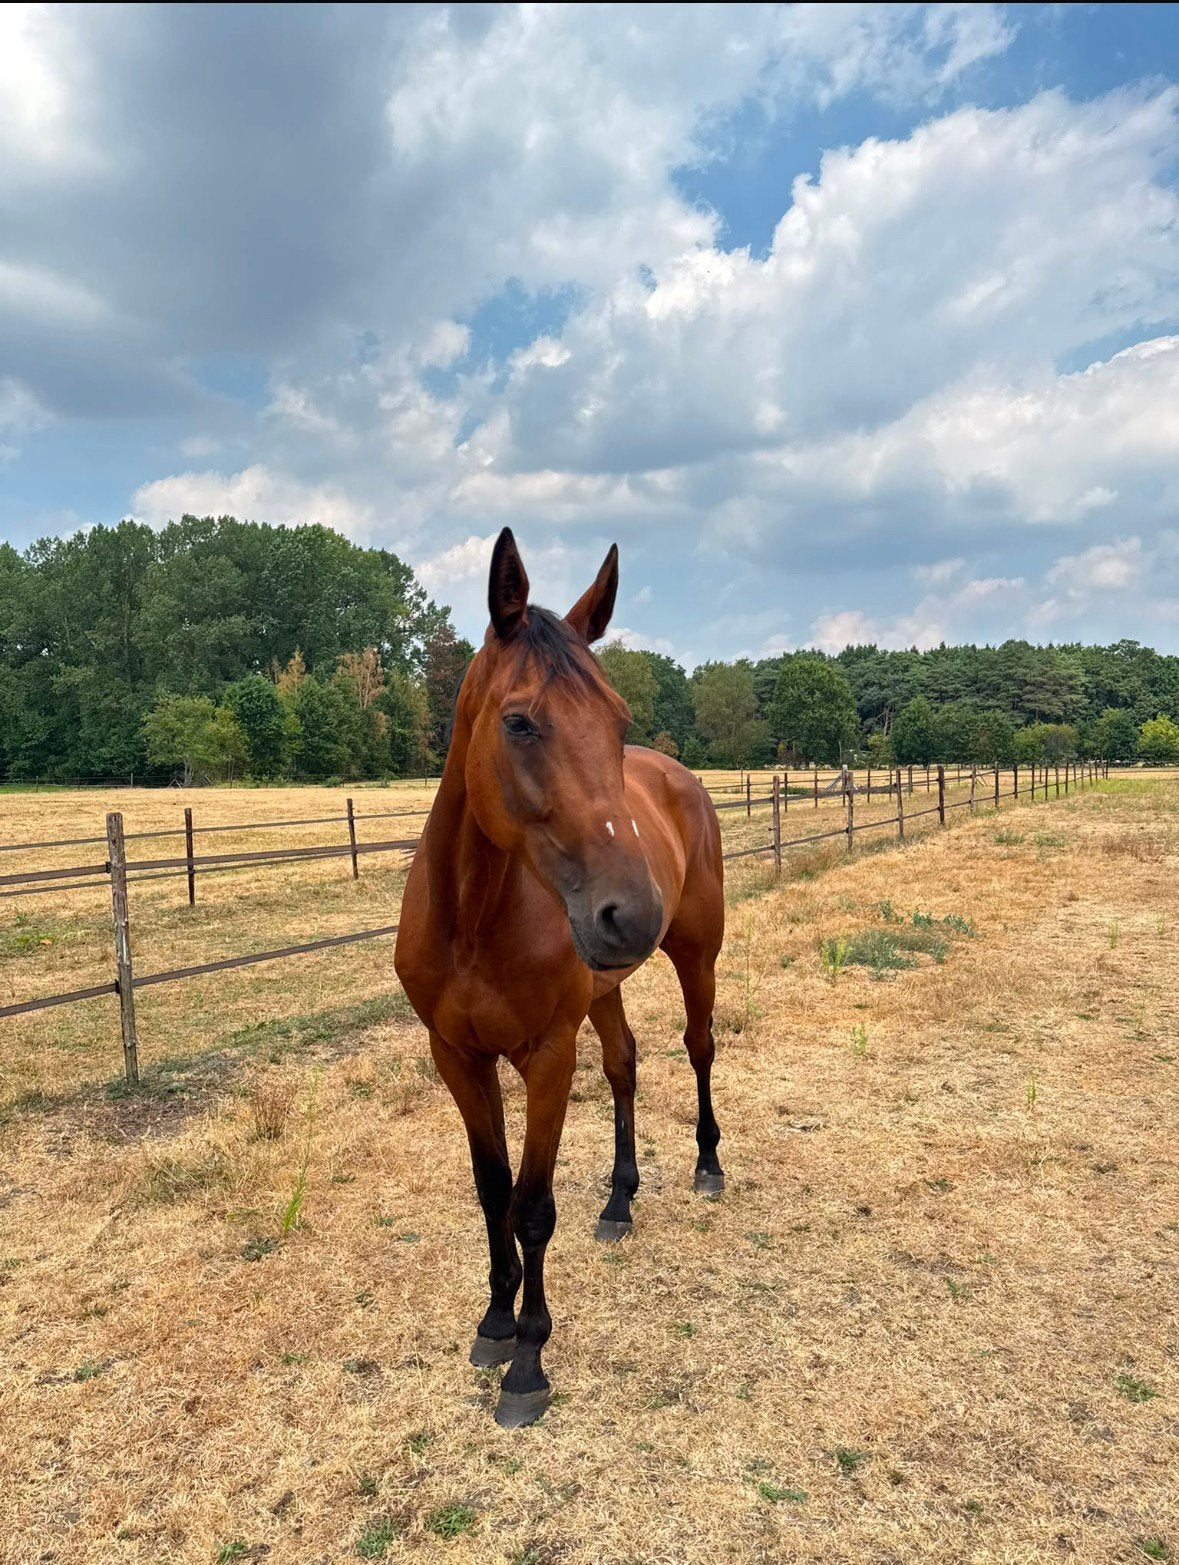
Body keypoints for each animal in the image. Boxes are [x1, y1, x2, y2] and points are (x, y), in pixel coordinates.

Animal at [393, 528, 725, 1428]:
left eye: (615, 720)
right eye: (519, 721)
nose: (632, 912)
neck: (474, 917)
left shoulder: (545, 1055)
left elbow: (532, 1207)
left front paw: (528, 1363)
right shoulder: (457, 1056)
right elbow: (491, 1190)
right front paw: (493, 1321)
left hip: (697, 956)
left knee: (699, 1046)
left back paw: (708, 1164)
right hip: (604, 992)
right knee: (624, 1065)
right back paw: (618, 1199)